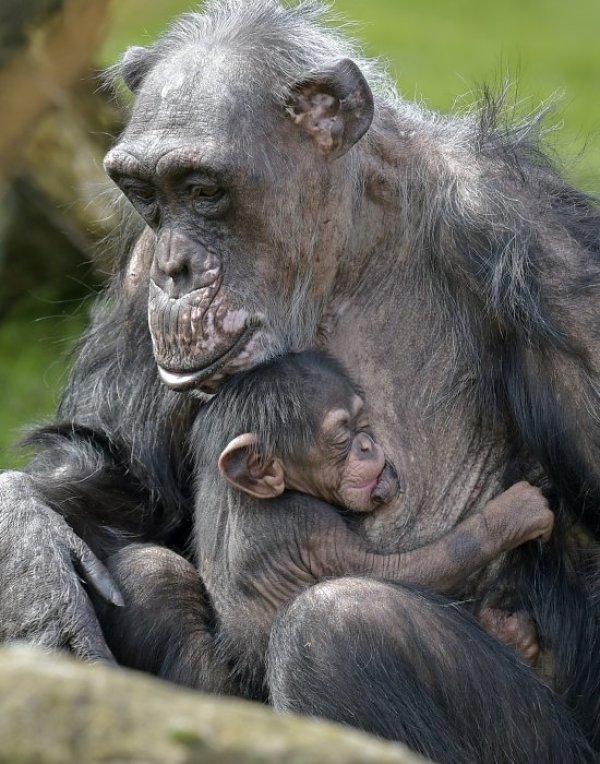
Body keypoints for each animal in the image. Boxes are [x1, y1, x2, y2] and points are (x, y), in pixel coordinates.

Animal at [1, 0, 600, 760]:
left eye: (203, 190)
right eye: (144, 193)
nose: (176, 269)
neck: (347, 250)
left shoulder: (551, 261)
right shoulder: (136, 266)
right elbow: (122, 468)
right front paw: (25, 554)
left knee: (340, 628)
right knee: (147, 576)